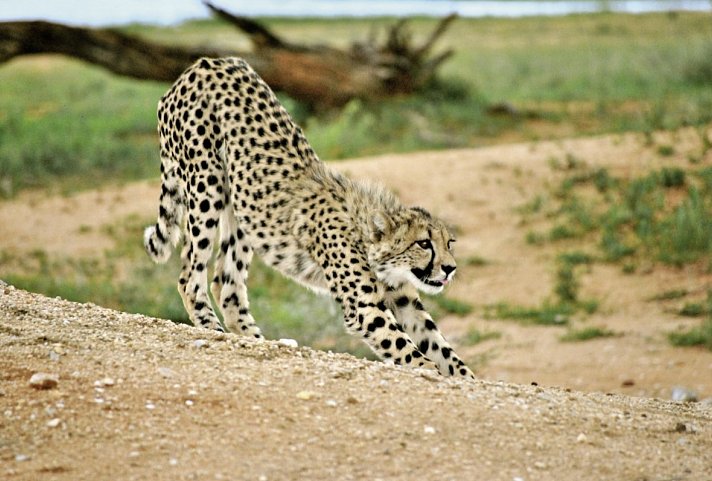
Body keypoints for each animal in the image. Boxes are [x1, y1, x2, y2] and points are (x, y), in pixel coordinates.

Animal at [145, 57, 476, 378]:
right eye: (424, 243)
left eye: (449, 243)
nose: (450, 268)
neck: (367, 236)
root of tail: (203, 63)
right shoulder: (364, 307)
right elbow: (405, 346)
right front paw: (429, 370)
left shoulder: (404, 300)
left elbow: (440, 346)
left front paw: (464, 377)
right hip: (207, 184)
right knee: (190, 276)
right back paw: (215, 331)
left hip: (241, 208)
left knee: (227, 285)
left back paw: (256, 340)